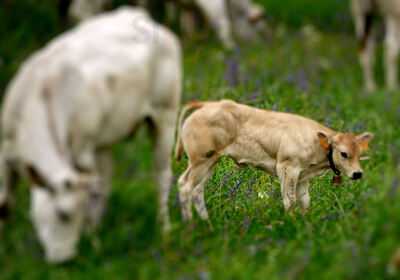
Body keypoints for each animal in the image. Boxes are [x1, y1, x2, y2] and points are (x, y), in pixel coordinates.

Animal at [0, 7, 181, 264]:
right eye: (62, 214)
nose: (65, 260)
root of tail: (138, 15)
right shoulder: (6, 154)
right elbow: (5, 204)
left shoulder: (82, 155)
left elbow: (93, 198)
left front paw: (92, 240)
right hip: (103, 143)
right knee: (106, 182)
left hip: (165, 115)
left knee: (161, 176)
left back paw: (164, 228)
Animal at [174, 100, 372, 221]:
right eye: (344, 153)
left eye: (359, 154)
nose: (357, 173)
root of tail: (209, 104)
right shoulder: (287, 167)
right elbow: (290, 199)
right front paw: (291, 222)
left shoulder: (304, 176)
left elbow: (305, 200)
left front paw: (305, 223)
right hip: (200, 160)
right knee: (185, 185)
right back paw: (190, 226)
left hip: (210, 162)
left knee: (197, 190)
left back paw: (206, 223)